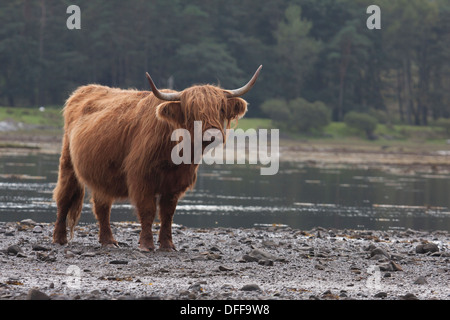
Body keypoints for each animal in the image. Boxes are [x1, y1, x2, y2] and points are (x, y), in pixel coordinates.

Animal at [52, 65, 262, 250]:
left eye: (221, 109)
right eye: (192, 111)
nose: (212, 135)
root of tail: (84, 90)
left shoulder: (175, 183)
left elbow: (167, 214)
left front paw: (167, 245)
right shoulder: (142, 178)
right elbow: (148, 211)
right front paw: (147, 245)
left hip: (101, 172)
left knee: (102, 205)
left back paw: (108, 241)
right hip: (68, 163)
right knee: (65, 197)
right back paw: (60, 238)